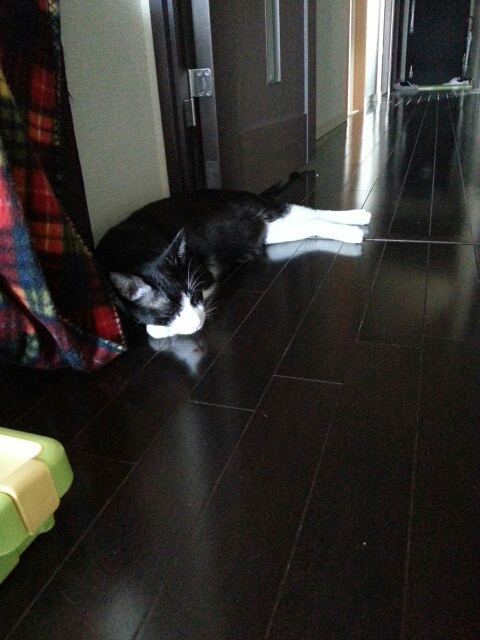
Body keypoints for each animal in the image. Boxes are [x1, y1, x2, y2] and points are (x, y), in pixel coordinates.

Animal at [95, 189, 371, 339]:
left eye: (194, 296)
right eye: (169, 310)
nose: (198, 323)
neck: (135, 251)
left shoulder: (205, 275)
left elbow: (154, 329)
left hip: (260, 223)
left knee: (311, 217)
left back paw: (356, 228)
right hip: (268, 231)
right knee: (311, 217)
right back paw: (359, 216)